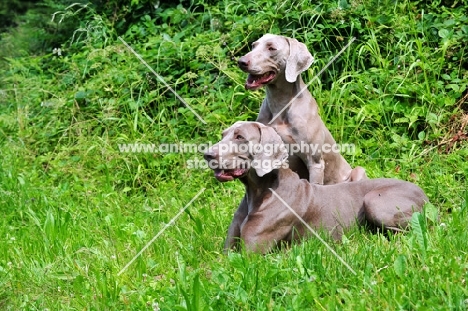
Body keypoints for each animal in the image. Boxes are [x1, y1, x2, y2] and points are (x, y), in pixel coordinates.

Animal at [203, 121, 430, 254]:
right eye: (223, 135)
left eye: (239, 137)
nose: (206, 154)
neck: (259, 191)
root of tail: (424, 194)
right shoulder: (227, 251)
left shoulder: (250, 256)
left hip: (375, 201)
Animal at [238, 34, 366, 185]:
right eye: (254, 46)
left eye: (272, 48)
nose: (241, 61)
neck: (280, 105)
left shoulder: (315, 162)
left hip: (358, 171)